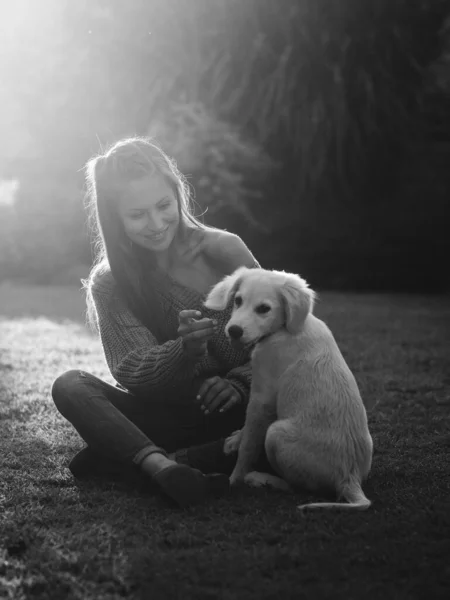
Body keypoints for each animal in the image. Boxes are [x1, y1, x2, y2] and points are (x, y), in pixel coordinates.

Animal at [204, 268, 372, 510]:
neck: (284, 329)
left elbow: (249, 444)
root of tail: (350, 479)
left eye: (264, 309)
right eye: (238, 301)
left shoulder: (262, 396)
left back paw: (260, 479)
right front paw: (235, 440)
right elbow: (247, 430)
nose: (234, 331)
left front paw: (234, 478)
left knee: (297, 487)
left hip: (275, 433)